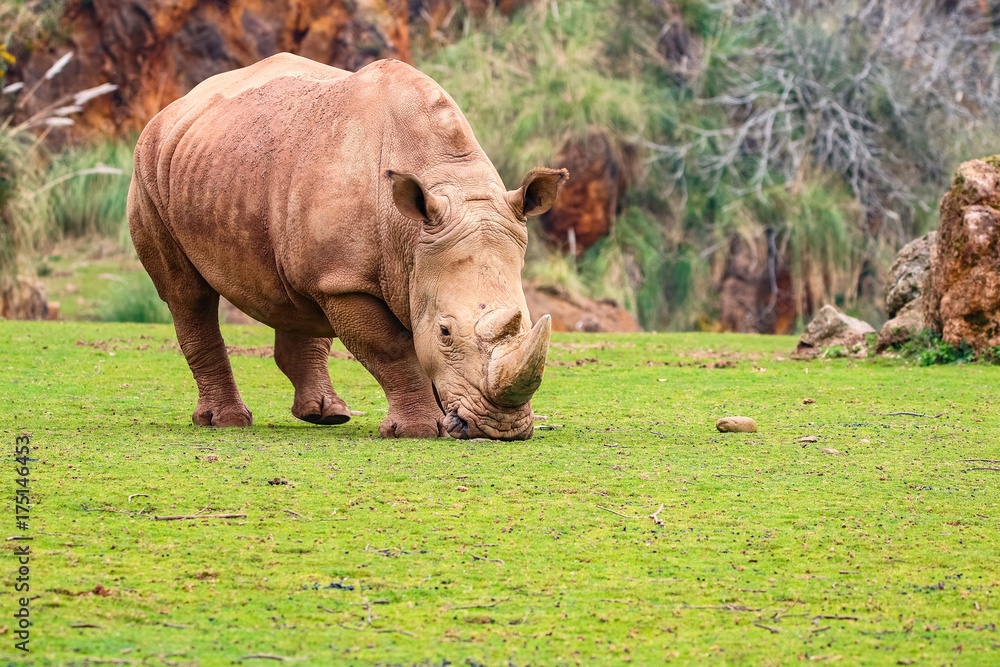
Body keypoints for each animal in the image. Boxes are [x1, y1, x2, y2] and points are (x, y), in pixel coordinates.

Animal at [127, 53, 567, 440]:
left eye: (528, 322)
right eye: (445, 332)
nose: (501, 429)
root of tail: (176, 105)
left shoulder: (392, 265)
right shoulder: (347, 282)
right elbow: (392, 349)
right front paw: (419, 430)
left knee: (295, 294)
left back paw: (326, 415)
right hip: (148, 169)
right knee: (186, 294)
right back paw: (227, 422)